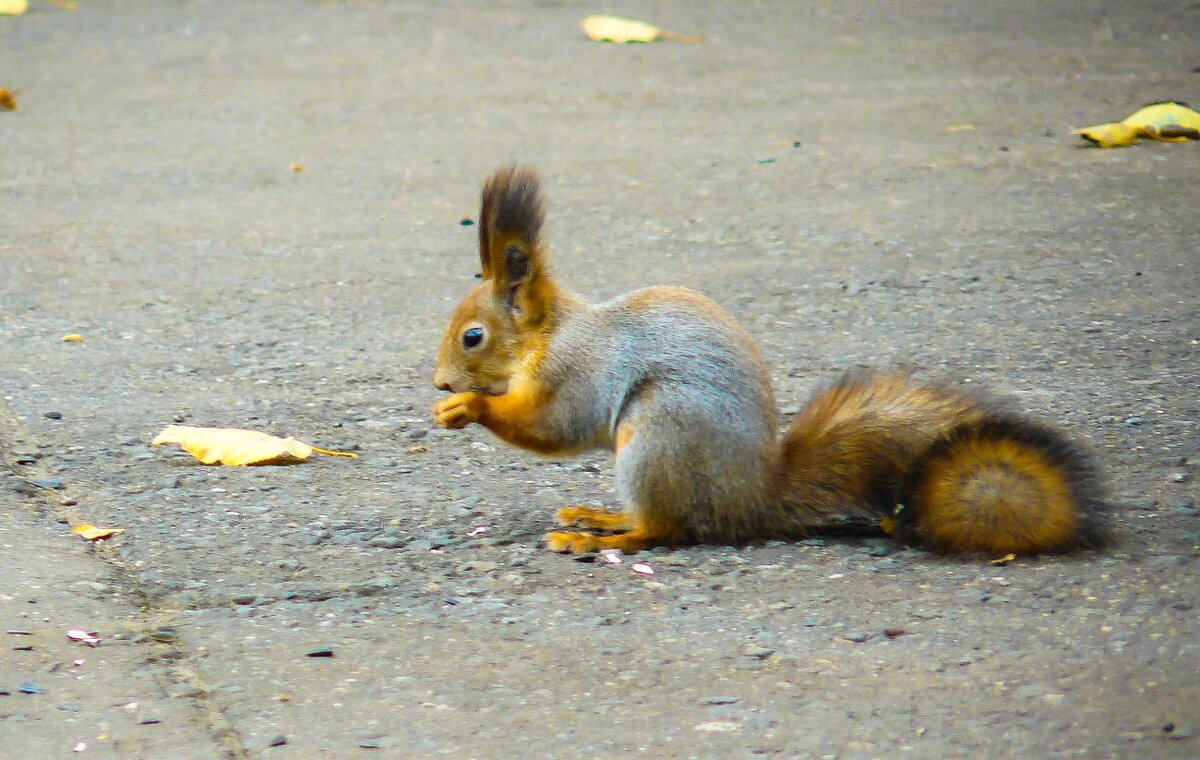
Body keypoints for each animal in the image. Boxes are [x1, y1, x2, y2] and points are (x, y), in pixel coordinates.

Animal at [432, 165, 1104, 554]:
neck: (550, 335)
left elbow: (553, 425)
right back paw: (597, 514)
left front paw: (468, 408)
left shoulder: (578, 370)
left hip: (660, 433)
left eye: (473, 337)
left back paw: (594, 534)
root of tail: (750, 500)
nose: (439, 383)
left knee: (666, 529)